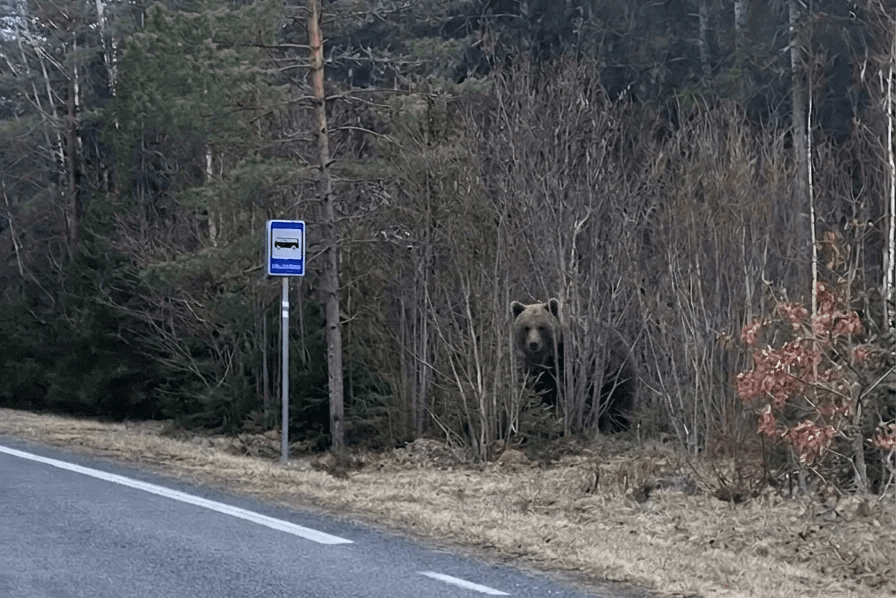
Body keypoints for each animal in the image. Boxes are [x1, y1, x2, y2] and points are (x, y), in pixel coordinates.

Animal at [511, 298, 635, 433]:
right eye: (526, 328)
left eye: (541, 327)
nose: (533, 343)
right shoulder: (536, 371)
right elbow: (539, 390)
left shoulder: (569, 361)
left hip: (615, 371)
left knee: (618, 401)